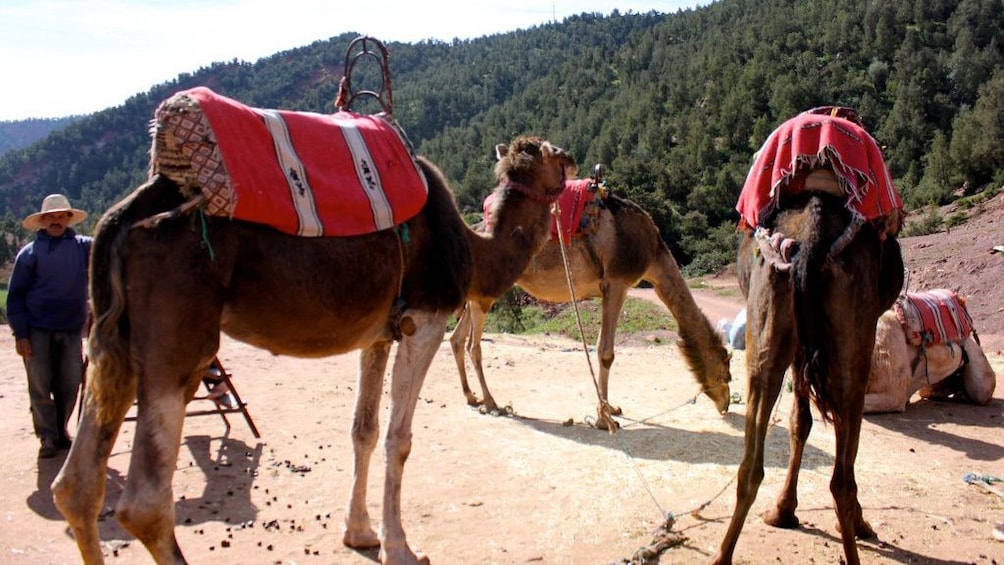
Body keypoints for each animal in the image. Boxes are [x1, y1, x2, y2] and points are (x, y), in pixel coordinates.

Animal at [50, 81, 578, 561]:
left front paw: (360, 533)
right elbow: (399, 439)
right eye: (556, 156)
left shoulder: (379, 334)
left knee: (75, 487)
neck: (471, 246)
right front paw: (401, 548)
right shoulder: (425, 318)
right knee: (144, 503)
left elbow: (363, 430)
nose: (574, 160)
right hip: (177, 338)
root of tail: (122, 218)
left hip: (112, 343)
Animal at [451, 174, 734, 427]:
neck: (654, 252)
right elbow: (606, 352)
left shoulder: (607, 288)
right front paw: (603, 418)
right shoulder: (617, 283)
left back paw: (471, 396)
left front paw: (611, 408)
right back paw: (492, 402)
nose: (726, 405)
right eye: (726, 372)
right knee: (473, 345)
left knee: (457, 338)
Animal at [710, 107, 907, 565]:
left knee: (754, 466)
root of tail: (814, 226)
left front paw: (785, 511)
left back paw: (723, 554)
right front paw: (792, 512)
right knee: (841, 474)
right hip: (848, 343)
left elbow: (801, 422)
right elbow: (812, 425)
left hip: (772, 332)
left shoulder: (804, 348)